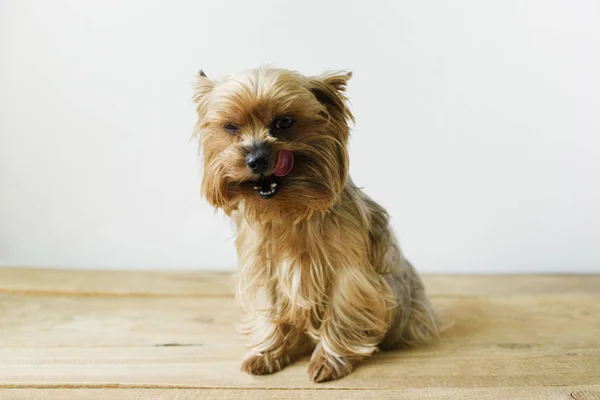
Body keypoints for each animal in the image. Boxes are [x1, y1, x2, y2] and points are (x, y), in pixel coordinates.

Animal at [193, 67, 440, 382]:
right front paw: (266, 353)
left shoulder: (348, 272)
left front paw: (329, 360)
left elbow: (342, 308)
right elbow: (267, 308)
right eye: (231, 127)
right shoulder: (263, 269)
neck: (290, 211)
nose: (256, 159)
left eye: (284, 122)